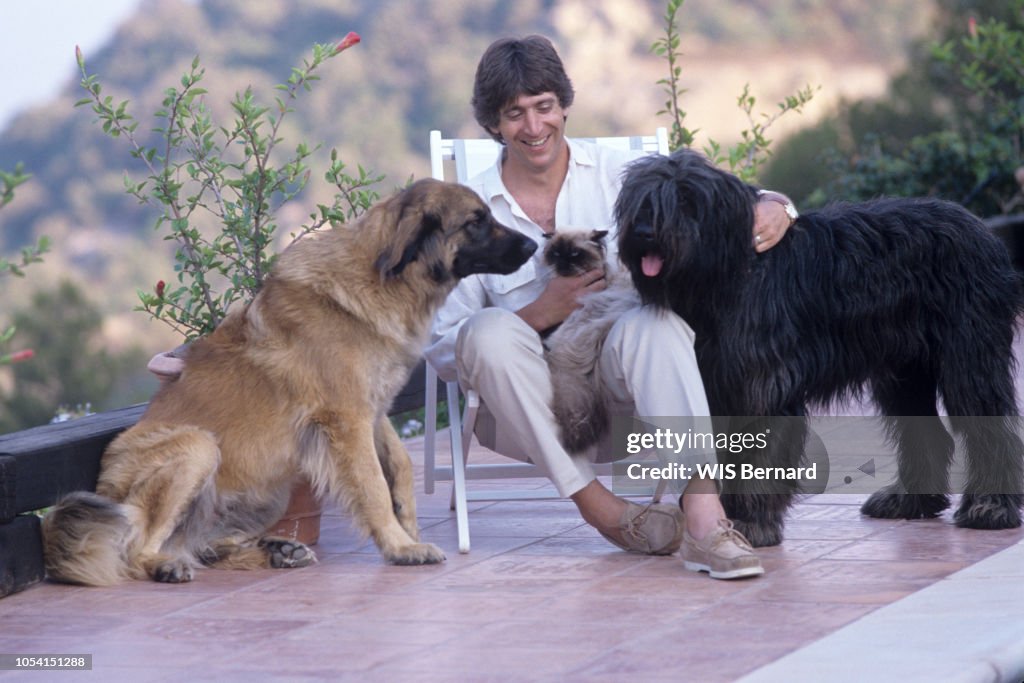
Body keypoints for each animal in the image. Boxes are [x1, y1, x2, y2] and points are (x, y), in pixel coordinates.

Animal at [39, 179, 536, 585]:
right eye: (476, 221)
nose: (535, 244)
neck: (380, 280)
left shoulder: (373, 409)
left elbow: (401, 466)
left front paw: (407, 530)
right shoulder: (348, 419)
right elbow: (374, 485)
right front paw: (400, 547)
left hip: (269, 492)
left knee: (198, 545)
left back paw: (274, 551)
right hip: (199, 448)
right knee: (139, 549)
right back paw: (167, 565)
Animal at [614, 150, 1024, 548]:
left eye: (686, 198)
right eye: (640, 200)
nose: (644, 233)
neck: (728, 278)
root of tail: (981, 229)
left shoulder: (763, 390)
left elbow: (759, 459)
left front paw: (751, 523)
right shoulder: (716, 388)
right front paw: (718, 520)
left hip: (968, 357)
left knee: (989, 428)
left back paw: (991, 507)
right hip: (904, 372)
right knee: (926, 433)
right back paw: (909, 500)